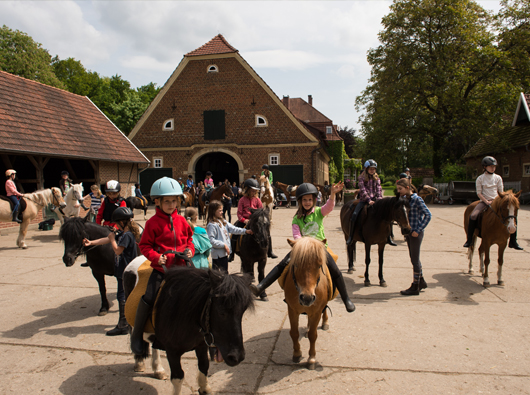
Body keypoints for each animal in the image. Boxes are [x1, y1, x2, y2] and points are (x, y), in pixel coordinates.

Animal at [125, 262, 255, 395]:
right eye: (221, 311)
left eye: (242, 312)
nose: (237, 357)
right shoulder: (172, 351)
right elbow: (178, 377)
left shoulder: (201, 345)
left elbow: (204, 366)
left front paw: (205, 389)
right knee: (134, 334)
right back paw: (139, 361)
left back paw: (158, 370)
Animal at [282, 238, 332, 372]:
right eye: (296, 264)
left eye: (319, 265)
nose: (307, 298)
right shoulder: (292, 309)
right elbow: (294, 332)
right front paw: (296, 354)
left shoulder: (316, 312)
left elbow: (313, 335)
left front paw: (311, 359)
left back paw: (325, 323)